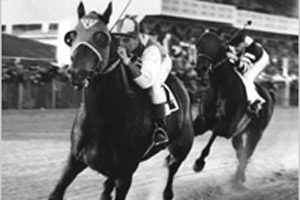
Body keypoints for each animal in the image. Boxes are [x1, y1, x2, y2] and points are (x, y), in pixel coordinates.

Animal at [48, 2, 193, 200]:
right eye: (72, 36)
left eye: (101, 37)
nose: (77, 73)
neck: (105, 118)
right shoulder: (75, 160)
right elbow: (57, 192)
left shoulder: (126, 173)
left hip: (182, 146)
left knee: (172, 169)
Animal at [192, 30, 274, 188]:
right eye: (198, 44)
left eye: (215, 46)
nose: (201, 69)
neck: (221, 87)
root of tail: (270, 94)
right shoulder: (202, 121)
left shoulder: (227, 127)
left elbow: (213, 135)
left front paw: (199, 163)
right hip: (239, 134)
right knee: (241, 152)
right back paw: (238, 177)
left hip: (256, 132)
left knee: (247, 152)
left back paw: (238, 180)